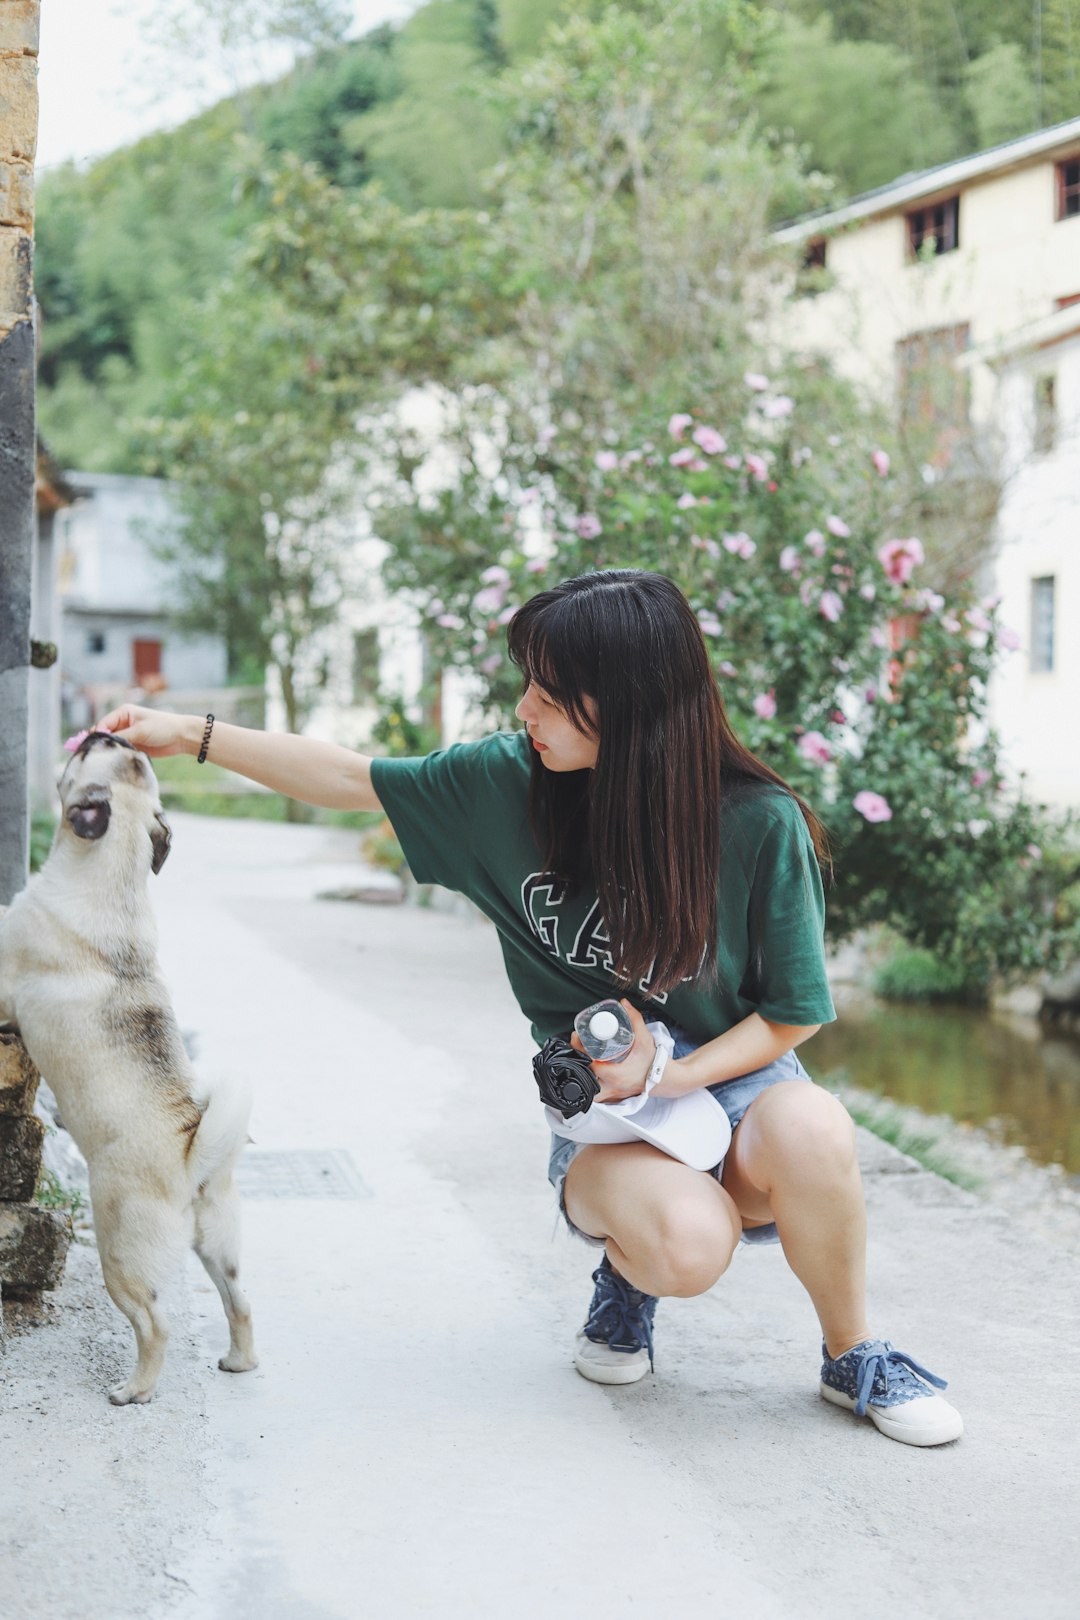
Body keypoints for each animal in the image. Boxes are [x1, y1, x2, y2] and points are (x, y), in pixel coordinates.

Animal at [0, 735, 259, 1406]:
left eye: (91, 751)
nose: (105, 731)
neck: (115, 879)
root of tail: (190, 1157)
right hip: (220, 1248)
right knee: (240, 1301)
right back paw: (239, 1362)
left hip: (122, 1256)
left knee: (154, 1323)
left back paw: (132, 1391)